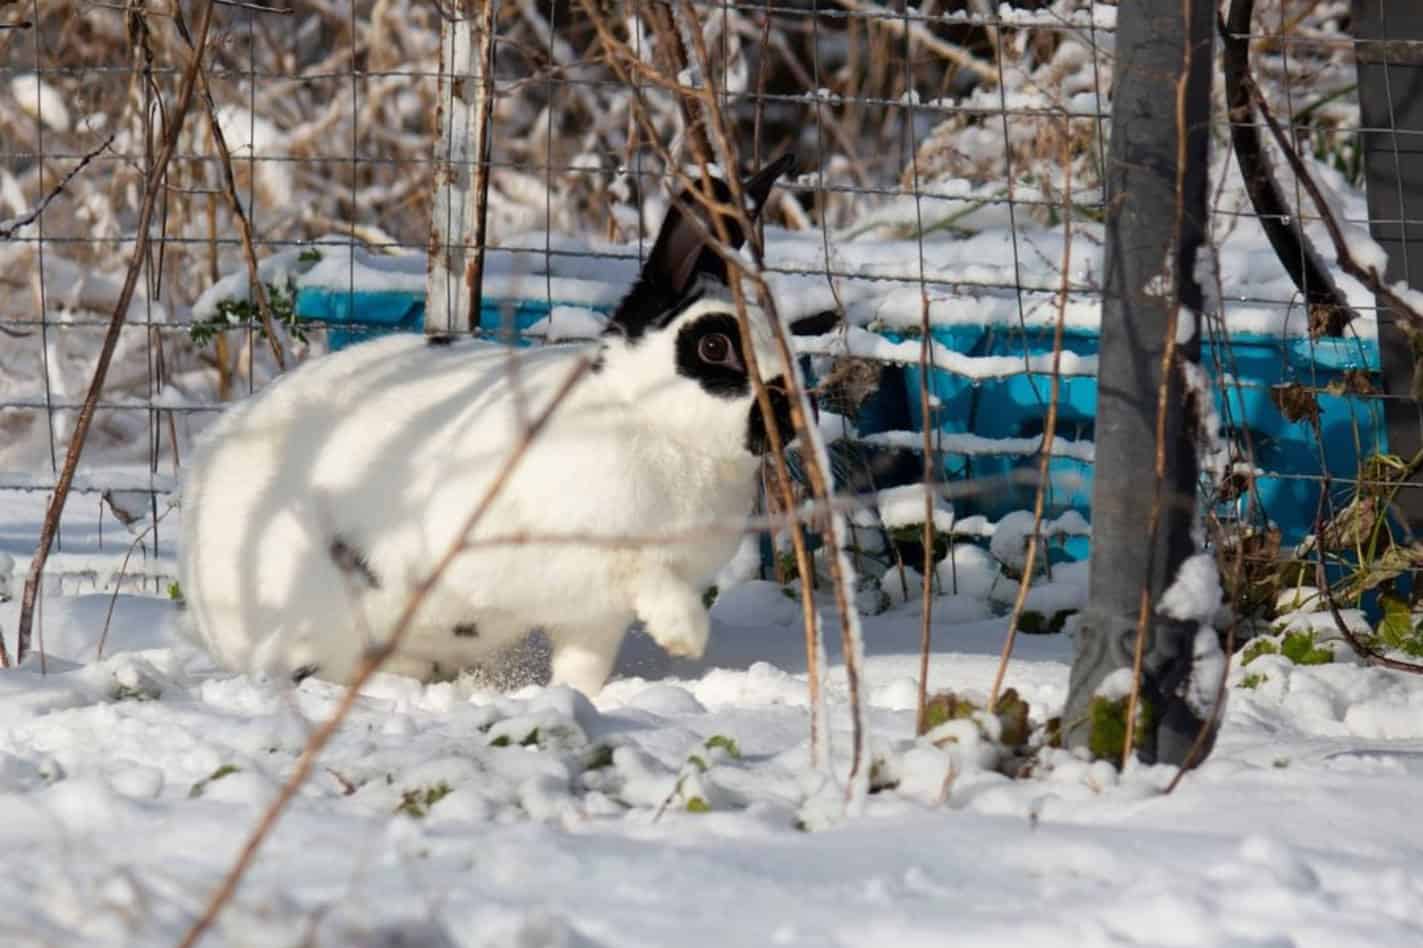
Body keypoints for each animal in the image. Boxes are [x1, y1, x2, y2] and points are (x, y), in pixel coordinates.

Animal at [179, 156, 831, 694]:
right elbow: (645, 571)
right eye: (715, 346)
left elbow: (585, 665)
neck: (648, 417)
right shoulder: (552, 552)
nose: (796, 414)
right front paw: (687, 635)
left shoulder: (592, 618)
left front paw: (580, 699)